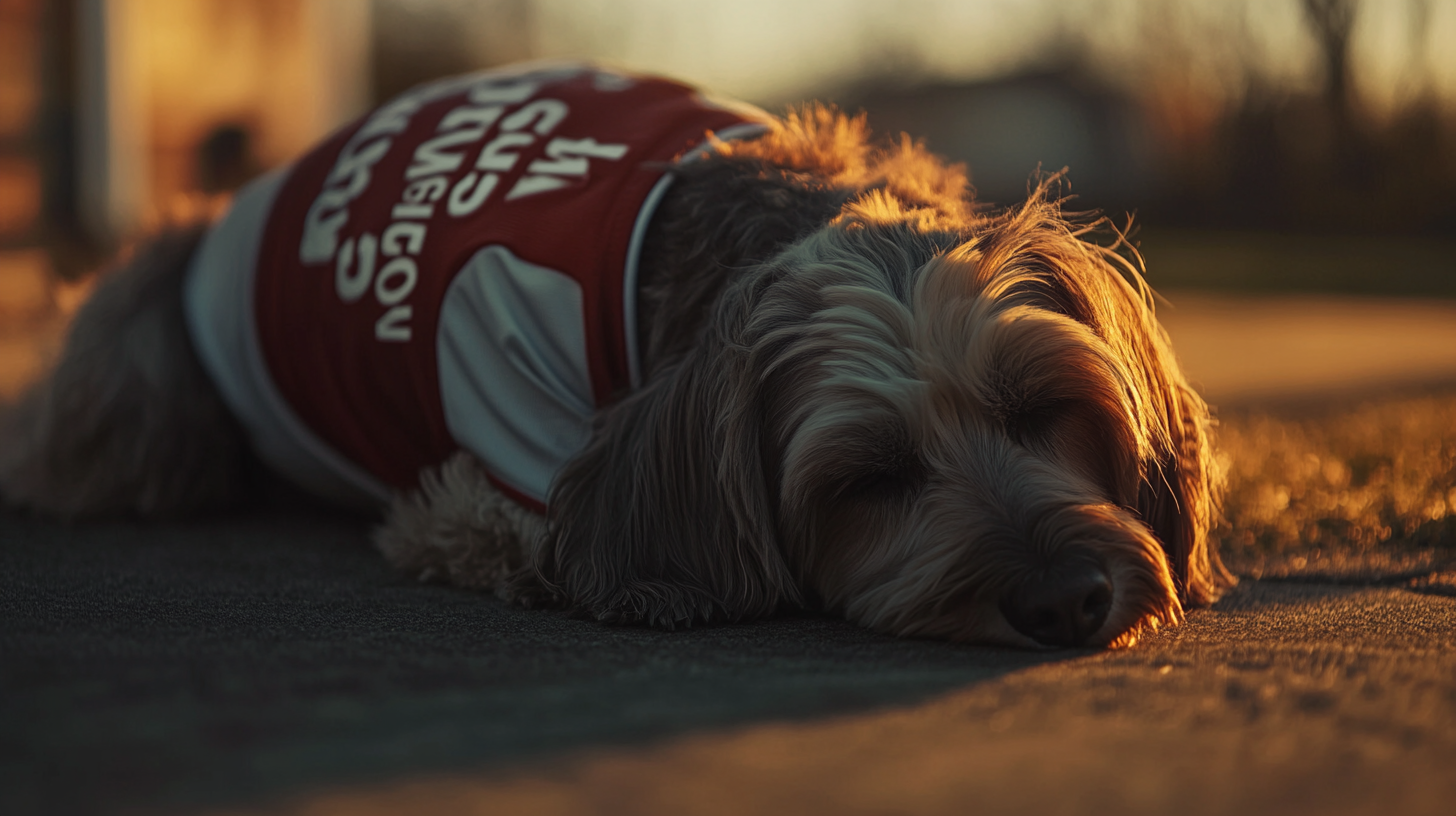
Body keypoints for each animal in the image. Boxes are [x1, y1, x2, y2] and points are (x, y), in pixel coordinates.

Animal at [0, 62, 1234, 649]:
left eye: (1043, 407)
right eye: (870, 478)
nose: (1069, 598)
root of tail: (219, 217)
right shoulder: (488, 484)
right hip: (141, 392)